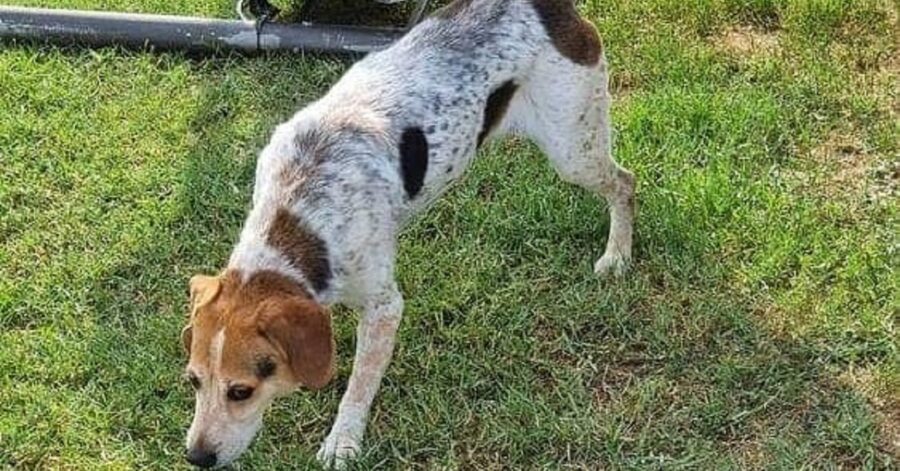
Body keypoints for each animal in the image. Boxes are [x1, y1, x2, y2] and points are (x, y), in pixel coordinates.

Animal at [181, 0, 632, 468]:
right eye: (193, 380)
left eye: (241, 391)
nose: (195, 456)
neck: (299, 210)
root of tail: (548, 8)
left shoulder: (384, 307)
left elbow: (359, 383)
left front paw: (343, 440)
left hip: (573, 150)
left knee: (625, 184)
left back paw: (618, 255)